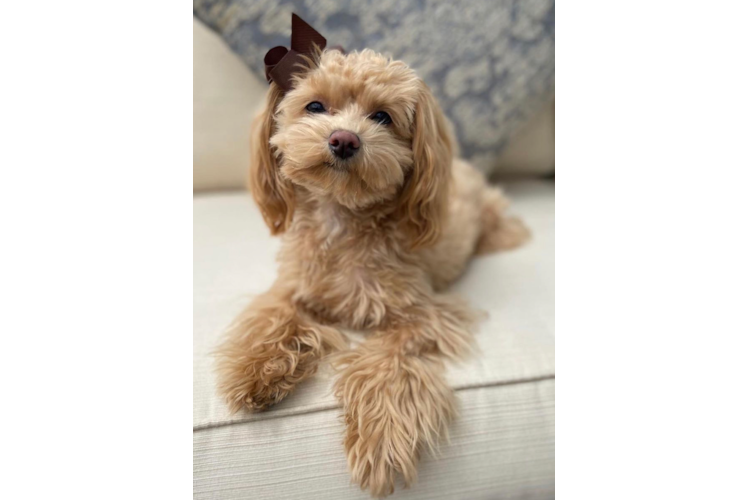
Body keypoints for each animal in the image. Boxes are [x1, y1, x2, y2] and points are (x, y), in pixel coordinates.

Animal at [213, 26, 528, 496]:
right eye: (315, 106)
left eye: (382, 117)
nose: (344, 139)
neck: (342, 219)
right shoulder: (291, 288)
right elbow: (273, 318)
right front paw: (256, 370)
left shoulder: (424, 315)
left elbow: (384, 364)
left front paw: (380, 439)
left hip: (489, 215)